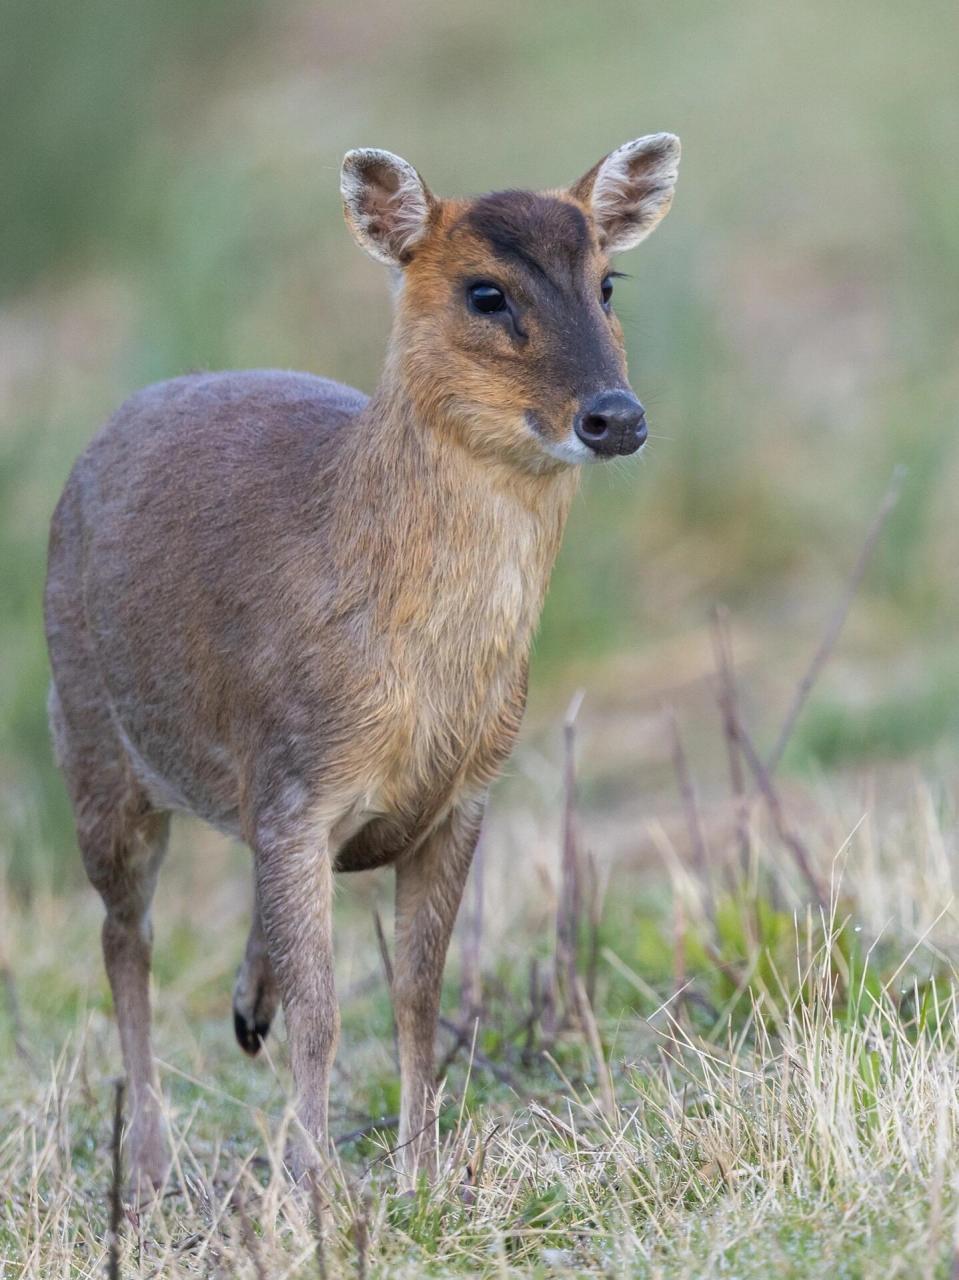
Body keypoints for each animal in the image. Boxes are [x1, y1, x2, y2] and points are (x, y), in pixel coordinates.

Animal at [42, 129, 670, 1187]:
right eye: (485, 292)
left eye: (608, 281)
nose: (615, 417)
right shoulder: (297, 782)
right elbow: (326, 1010)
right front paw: (311, 1184)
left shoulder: (462, 798)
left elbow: (416, 990)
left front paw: (421, 1169)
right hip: (90, 739)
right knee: (125, 937)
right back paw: (154, 1162)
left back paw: (242, 1015)